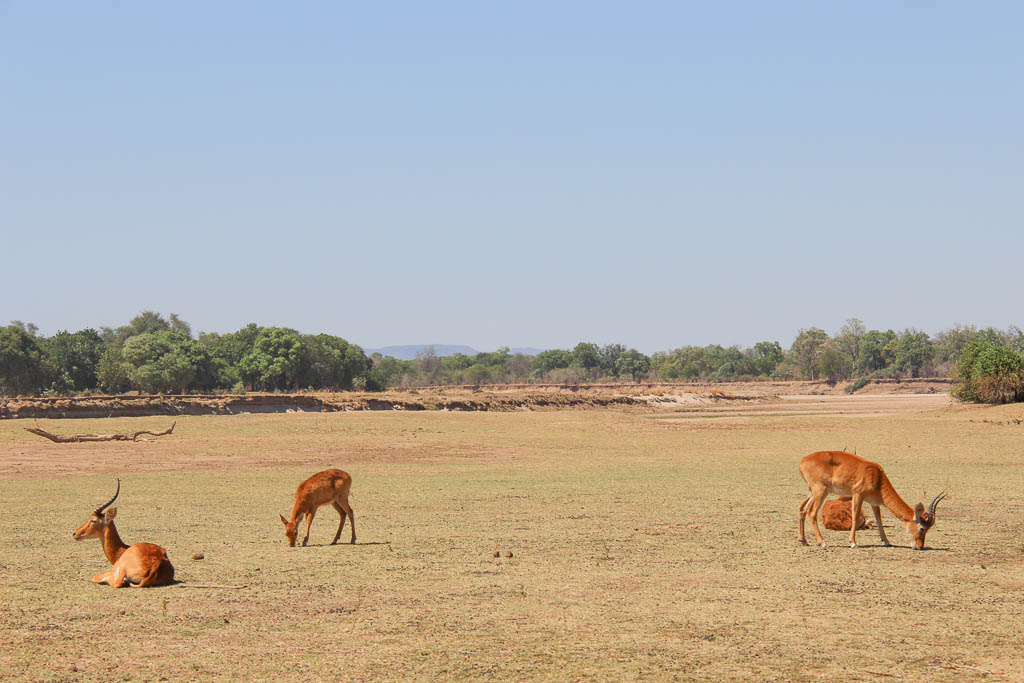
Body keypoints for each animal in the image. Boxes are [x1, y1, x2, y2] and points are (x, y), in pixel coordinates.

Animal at [794, 450, 946, 552]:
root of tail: (802, 462)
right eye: (922, 528)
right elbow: (855, 517)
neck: (876, 476)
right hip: (821, 491)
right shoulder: (858, 495)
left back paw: (804, 541)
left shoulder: (874, 502)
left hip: (812, 492)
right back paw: (823, 543)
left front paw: (887, 541)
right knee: (811, 512)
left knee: (801, 508)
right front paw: (853, 543)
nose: (920, 546)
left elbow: (879, 520)